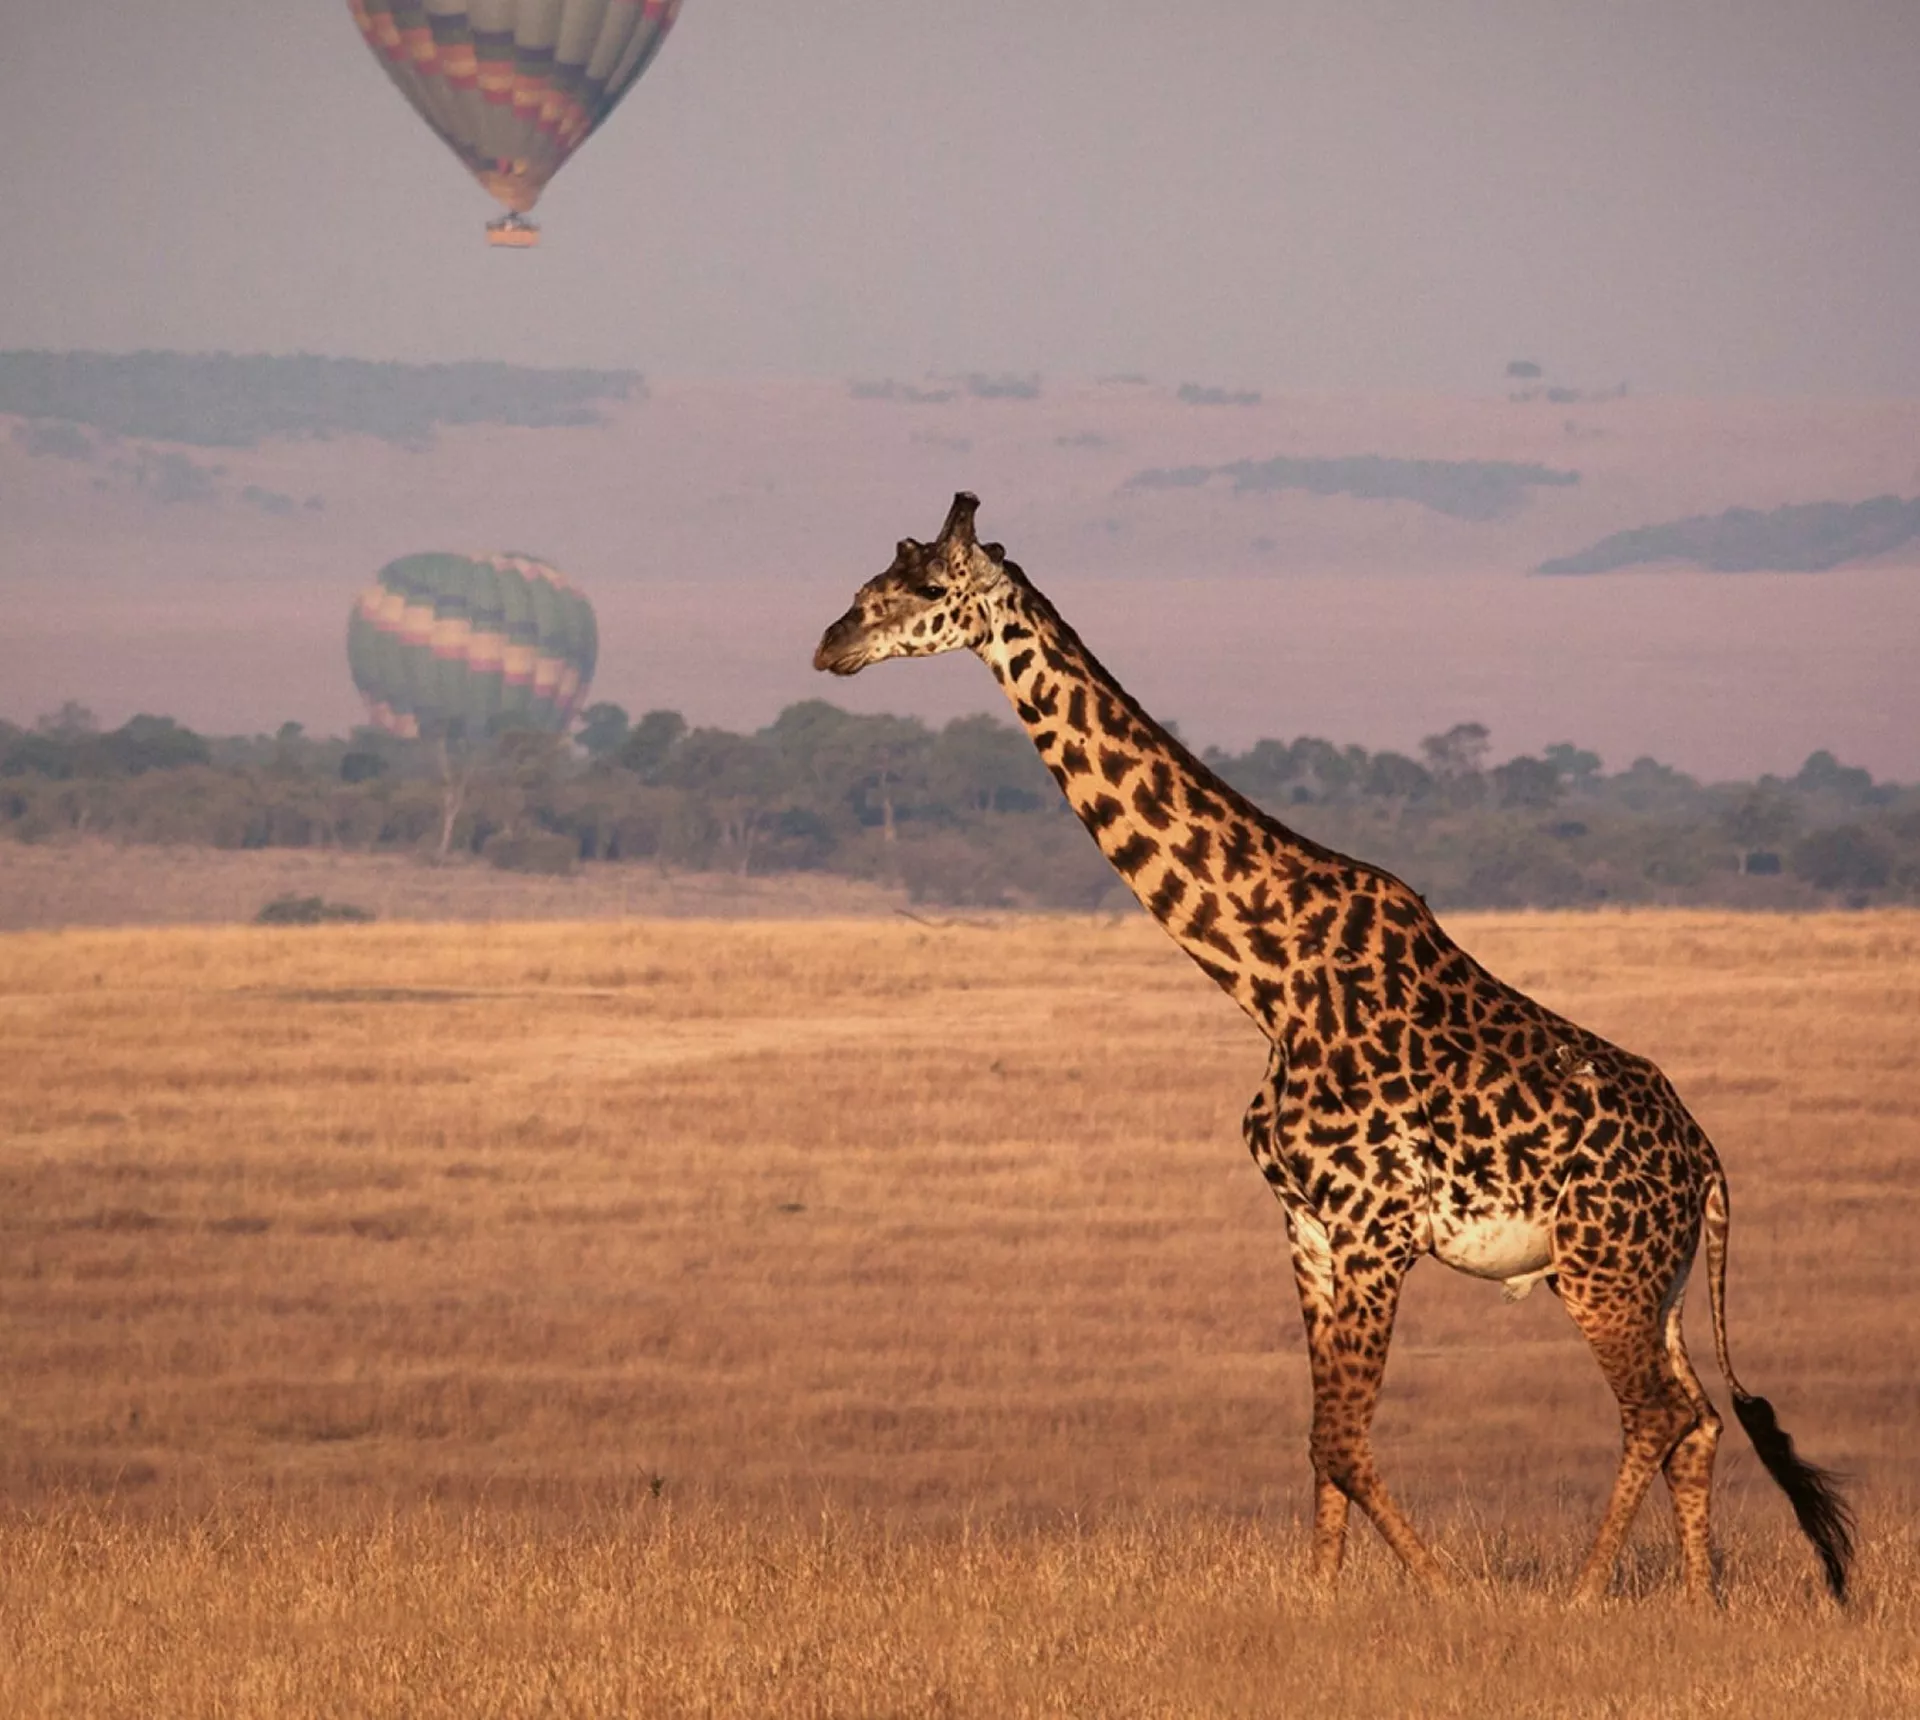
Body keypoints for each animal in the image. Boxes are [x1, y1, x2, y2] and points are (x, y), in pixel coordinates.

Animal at [813, 492, 1854, 1604]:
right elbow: (1321, 1443)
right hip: (1653, 1278)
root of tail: (1706, 1161)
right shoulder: (1307, 1227)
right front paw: (1320, 1597)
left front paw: (1446, 1591)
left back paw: (1579, 1596)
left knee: (1658, 1413)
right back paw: (1698, 1599)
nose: (832, 644)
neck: (1267, 977)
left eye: (924, 586)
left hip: (1599, 1271)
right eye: (873, 578)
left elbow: (1348, 1442)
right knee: (1696, 1418)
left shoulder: (1371, 1228)